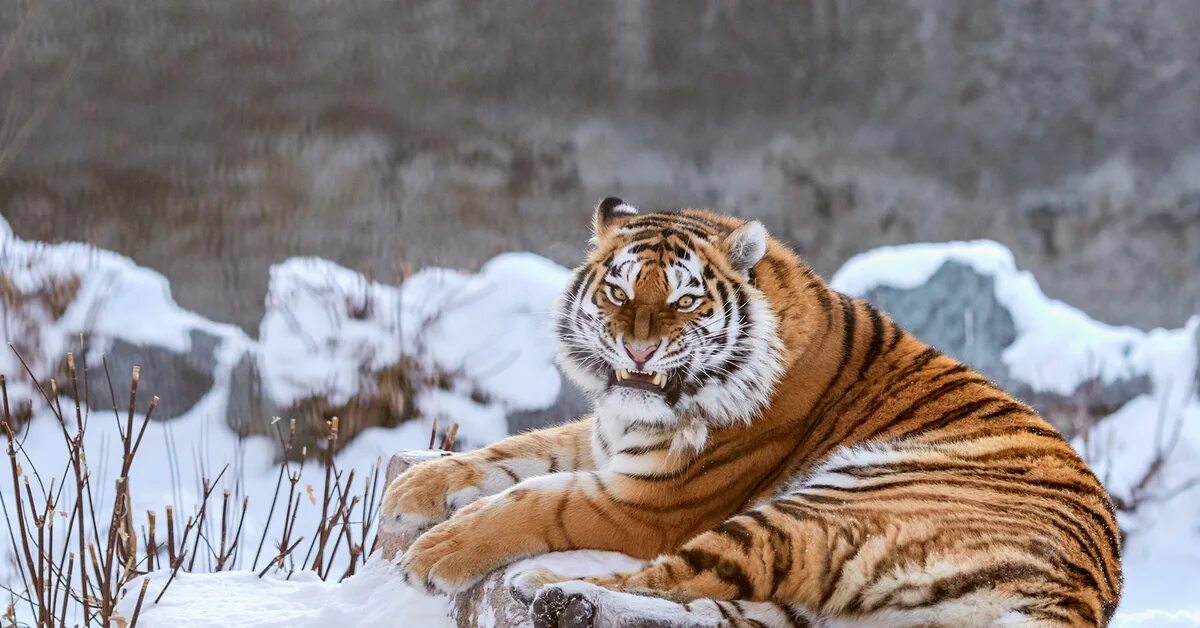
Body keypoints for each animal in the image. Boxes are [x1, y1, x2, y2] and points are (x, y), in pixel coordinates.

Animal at [384, 198, 1123, 628]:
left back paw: (547, 585)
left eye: (684, 302)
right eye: (619, 293)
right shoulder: (609, 438)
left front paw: (436, 553)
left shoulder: (652, 502)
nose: (639, 349)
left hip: (826, 509)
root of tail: (1076, 597)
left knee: (672, 575)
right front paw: (412, 489)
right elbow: (517, 452)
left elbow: (537, 500)